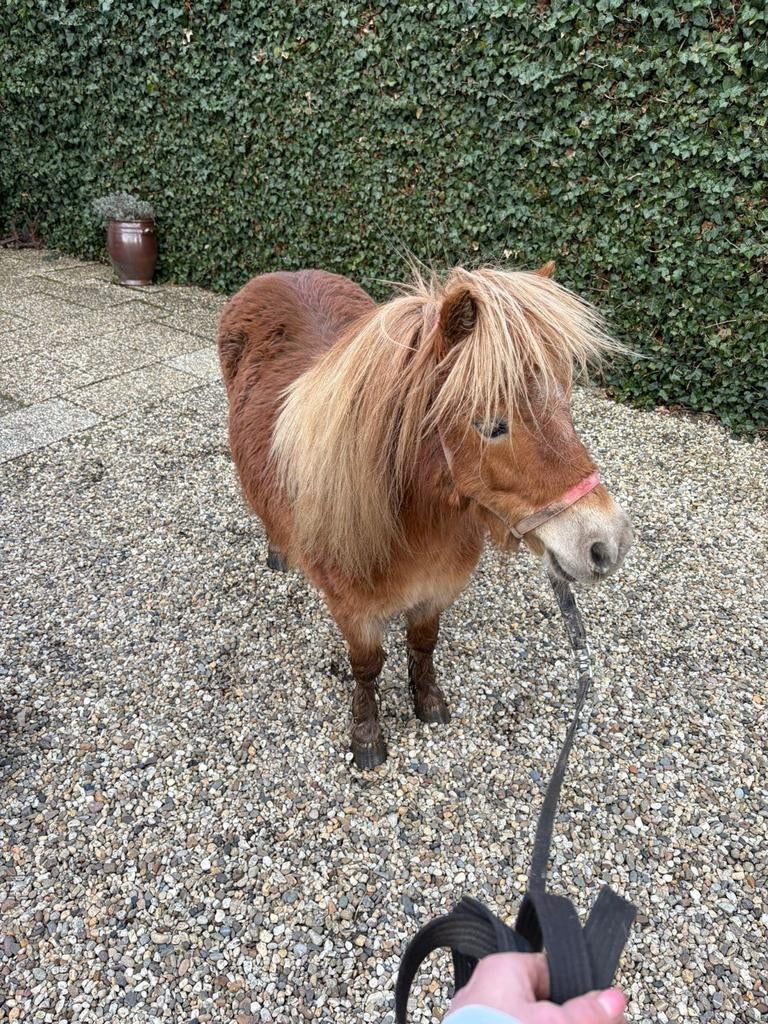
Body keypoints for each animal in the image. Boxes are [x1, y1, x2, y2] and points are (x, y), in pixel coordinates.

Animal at [217, 262, 633, 769]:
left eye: (565, 404)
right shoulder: (353, 610)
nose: (607, 544)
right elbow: (367, 667)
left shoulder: (436, 592)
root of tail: (285, 273)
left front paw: (428, 700)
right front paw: (367, 735)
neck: (414, 525)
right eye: (492, 425)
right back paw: (279, 552)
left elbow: (423, 643)